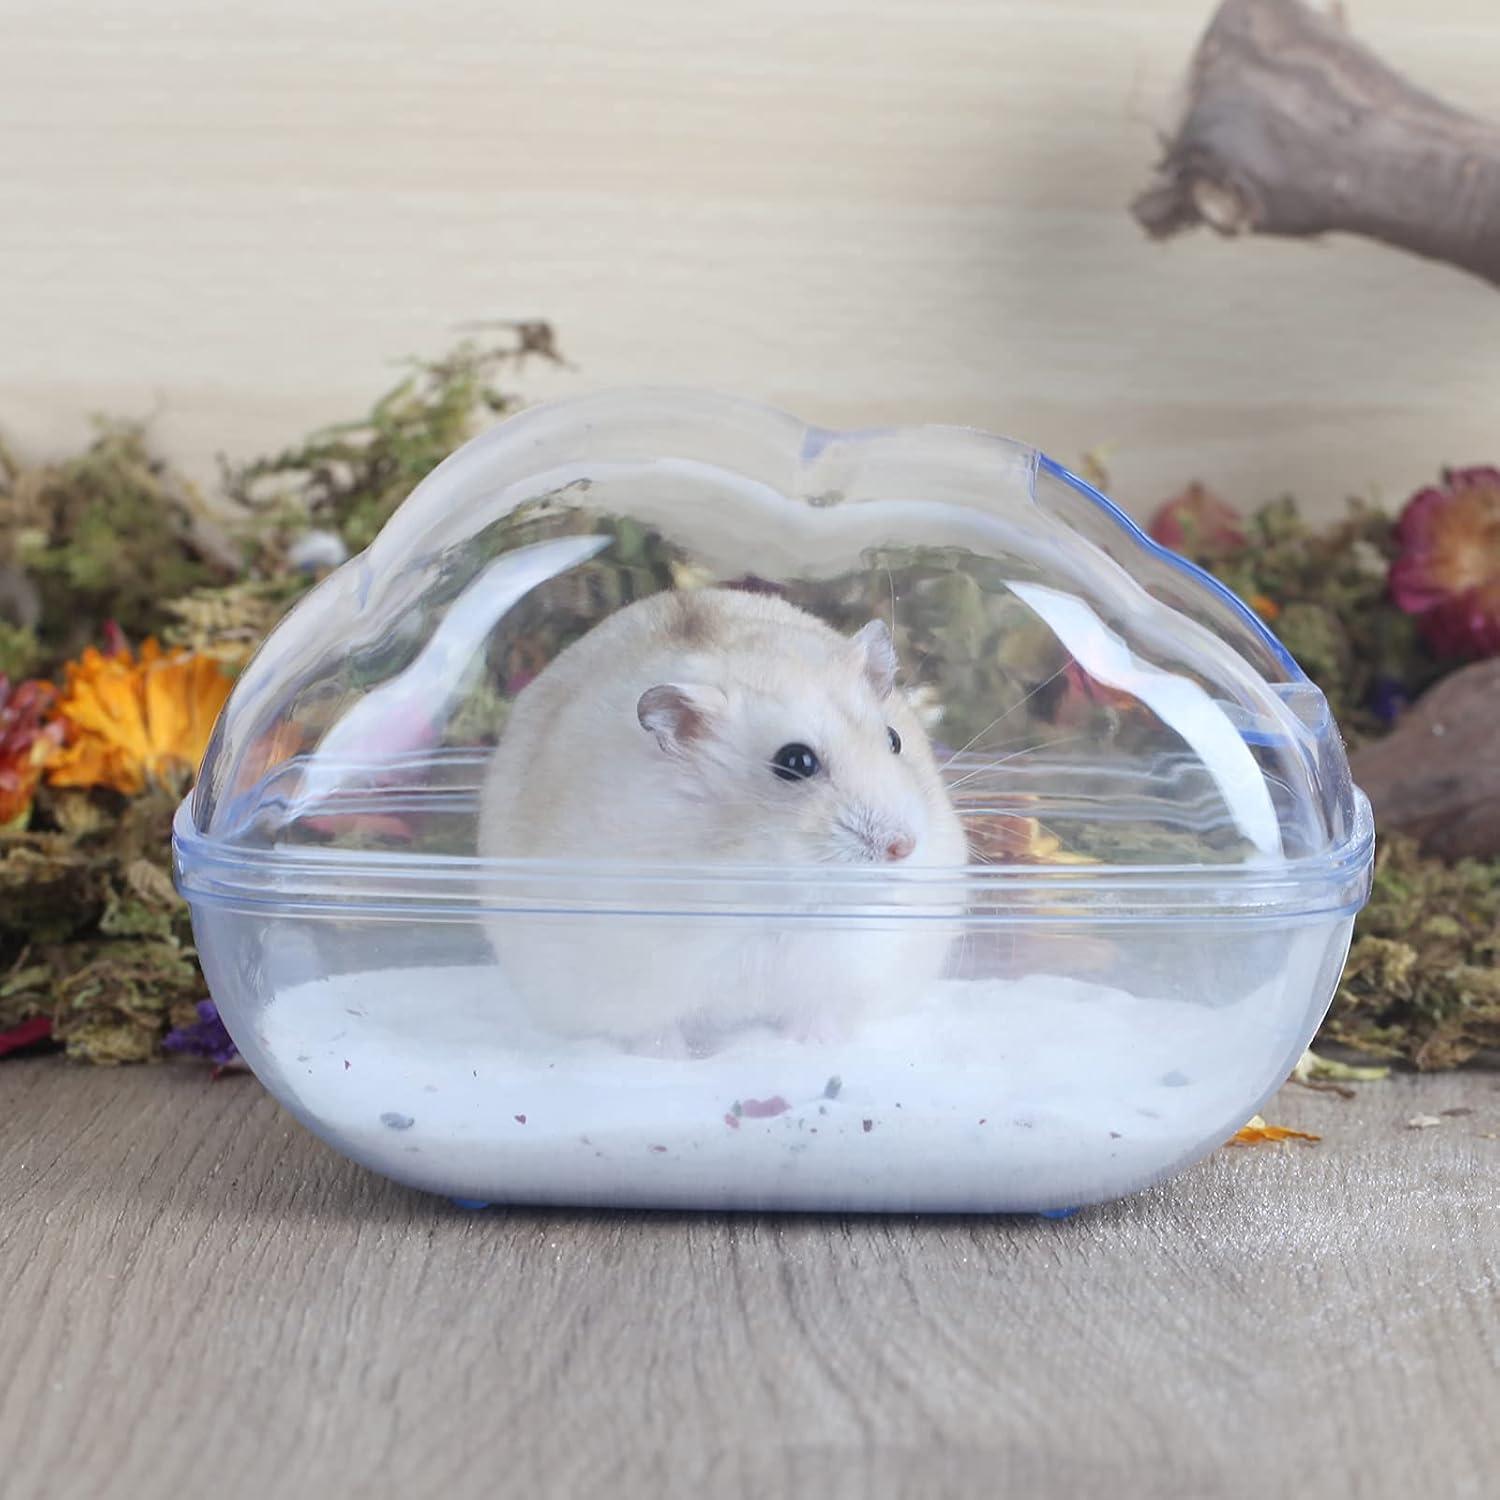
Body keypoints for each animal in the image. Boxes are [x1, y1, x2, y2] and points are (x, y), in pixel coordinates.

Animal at [479, 587, 969, 1054]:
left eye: (895, 739)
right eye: (795, 762)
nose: (903, 847)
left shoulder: (846, 968)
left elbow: (818, 1011)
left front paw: (812, 1045)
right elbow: (654, 1031)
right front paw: (670, 1059)